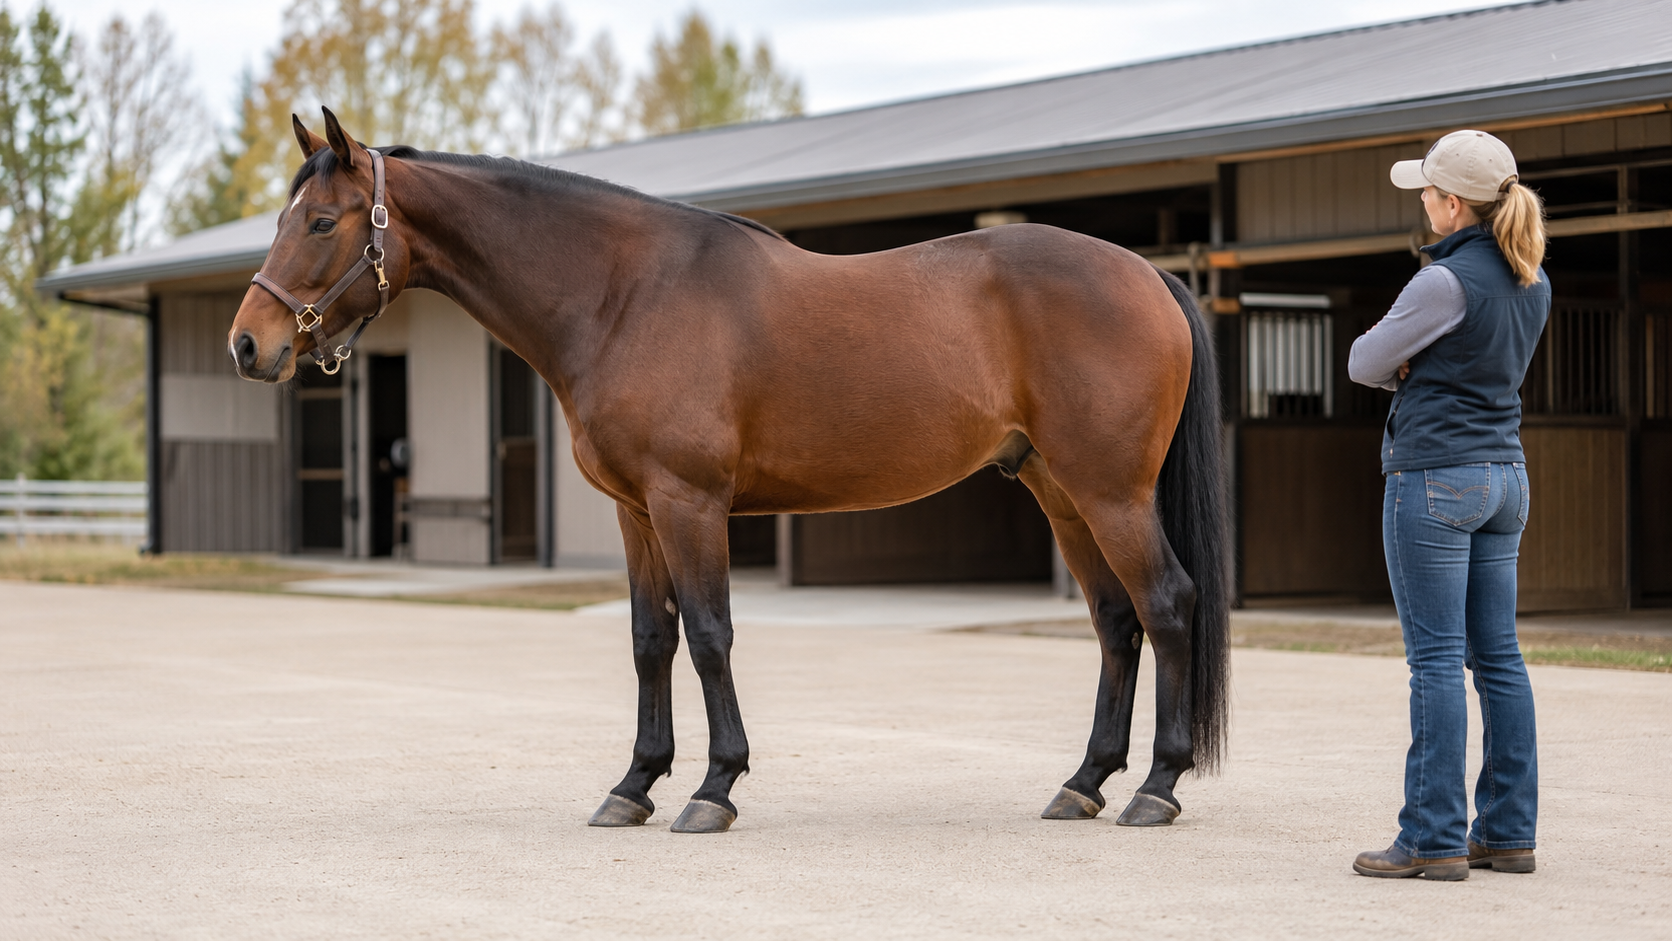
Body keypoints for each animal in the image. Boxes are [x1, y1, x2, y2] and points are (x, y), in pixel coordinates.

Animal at [229, 108, 1230, 834]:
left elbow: (709, 635)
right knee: (1116, 623)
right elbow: (650, 639)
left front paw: (714, 787)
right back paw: (1084, 782)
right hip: (1063, 494)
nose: (249, 344)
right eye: (282, 219)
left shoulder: (688, 504)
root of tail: (1148, 273)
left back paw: (1158, 786)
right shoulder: (637, 513)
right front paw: (633, 784)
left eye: (321, 221)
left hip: (1110, 494)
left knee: (1168, 603)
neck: (624, 293)